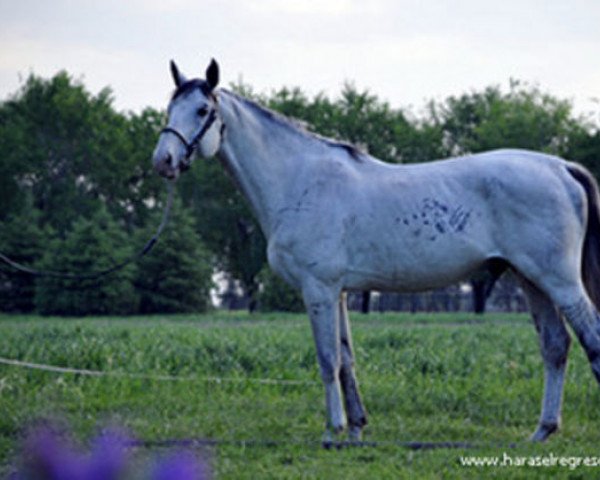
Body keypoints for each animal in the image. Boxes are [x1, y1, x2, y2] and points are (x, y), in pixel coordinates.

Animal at [151, 59, 600, 446]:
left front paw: (331, 431)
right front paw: (355, 429)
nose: (164, 161)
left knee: (590, 337)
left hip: (558, 281)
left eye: (202, 109)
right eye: (170, 107)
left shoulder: (319, 289)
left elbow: (327, 359)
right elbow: (347, 361)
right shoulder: (339, 293)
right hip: (531, 280)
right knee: (556, 347)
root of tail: (561, 168)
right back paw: (542, 430)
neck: (300, 180)